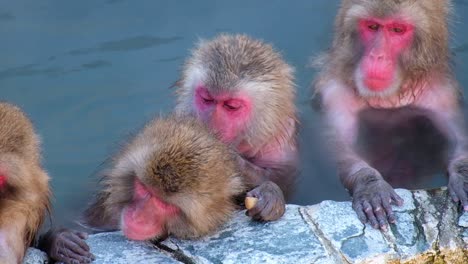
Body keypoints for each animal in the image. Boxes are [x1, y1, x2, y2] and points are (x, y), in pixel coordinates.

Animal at [312, 0, 466, 231]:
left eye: (397, 30)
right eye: (373, 27)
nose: (377, 56)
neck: (390, 96)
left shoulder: (442, 94)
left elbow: (459, 139)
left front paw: (463, 175)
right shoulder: (334, 92)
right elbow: (339, 145)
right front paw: (370, 184)